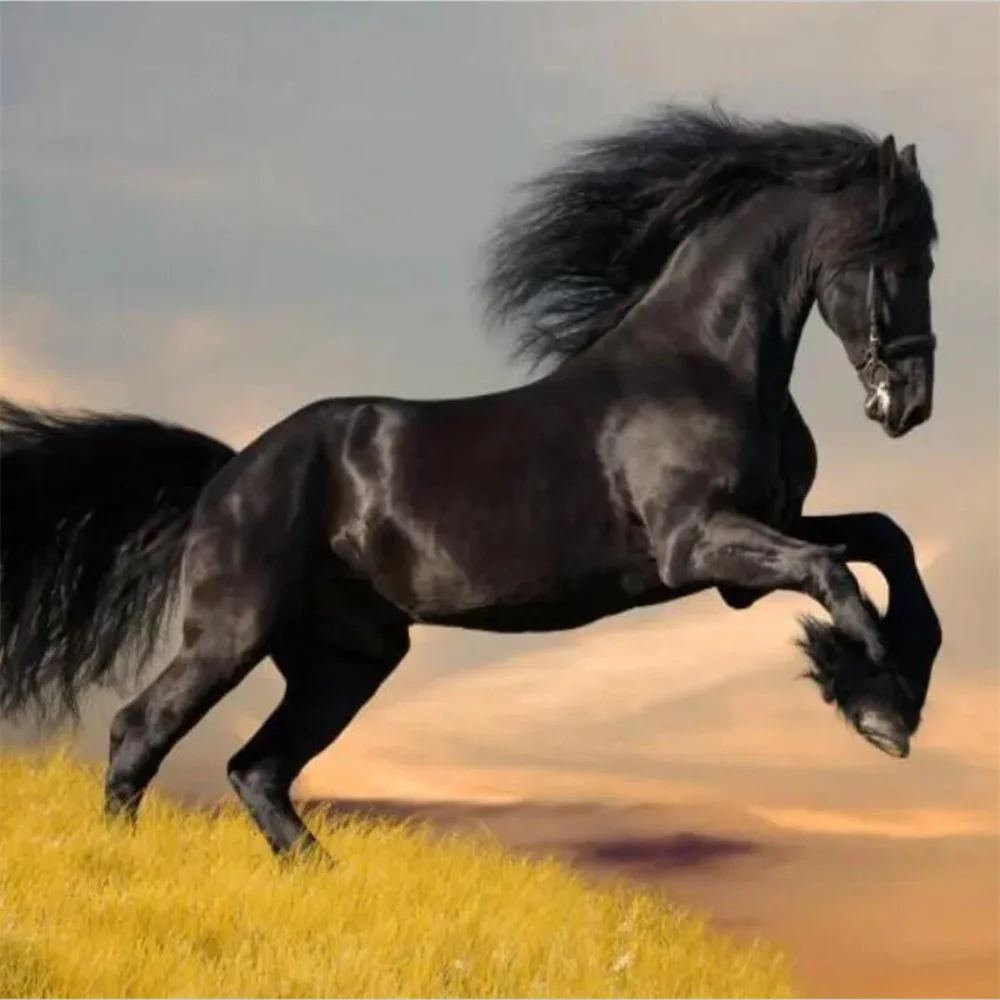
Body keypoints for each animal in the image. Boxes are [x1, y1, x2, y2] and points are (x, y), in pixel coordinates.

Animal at [0, 105, 942, 861]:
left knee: (256, 768)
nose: (911, 404)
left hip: (348, 658)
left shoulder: (762, 534)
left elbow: (886, 540)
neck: (705, 362)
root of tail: (228, 473)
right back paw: (120, 865)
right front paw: (879, 704)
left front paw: (888, 693)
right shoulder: (699, 545)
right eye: (900, 259)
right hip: (231, 632)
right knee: (140, 732)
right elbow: (836, 574)